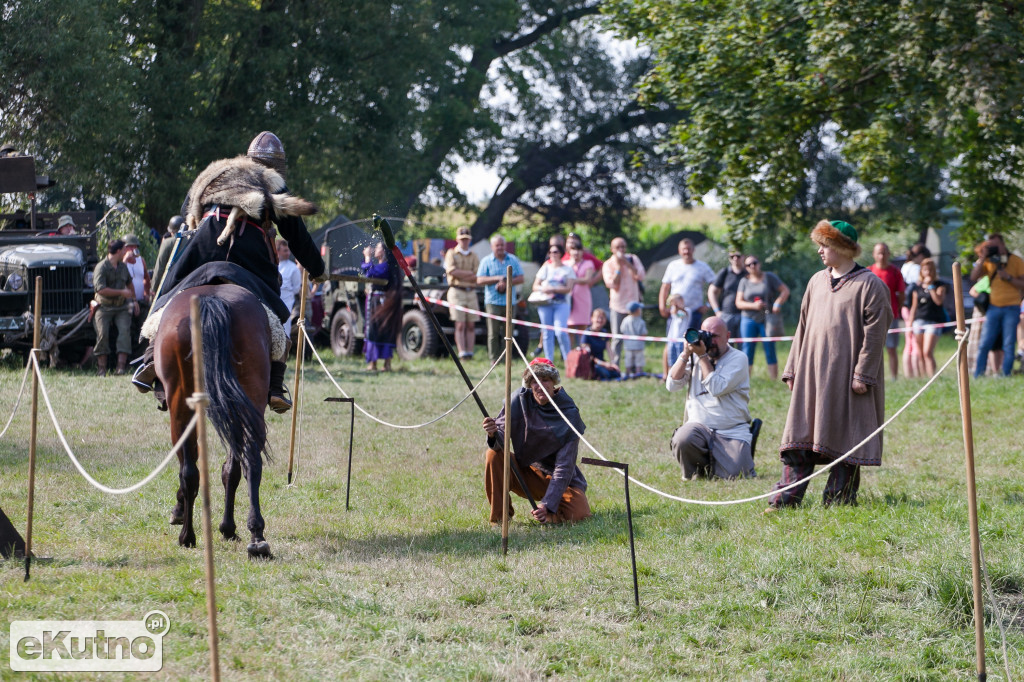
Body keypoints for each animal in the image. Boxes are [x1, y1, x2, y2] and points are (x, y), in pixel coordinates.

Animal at [152, 284, 272, 557]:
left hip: (181, 406)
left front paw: (179, 511)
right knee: (251, 461)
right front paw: (228, 528)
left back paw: (187, 536)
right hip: (250, 399)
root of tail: (211, 299)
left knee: (189, 471)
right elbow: (231, 470)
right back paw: (257, 537)